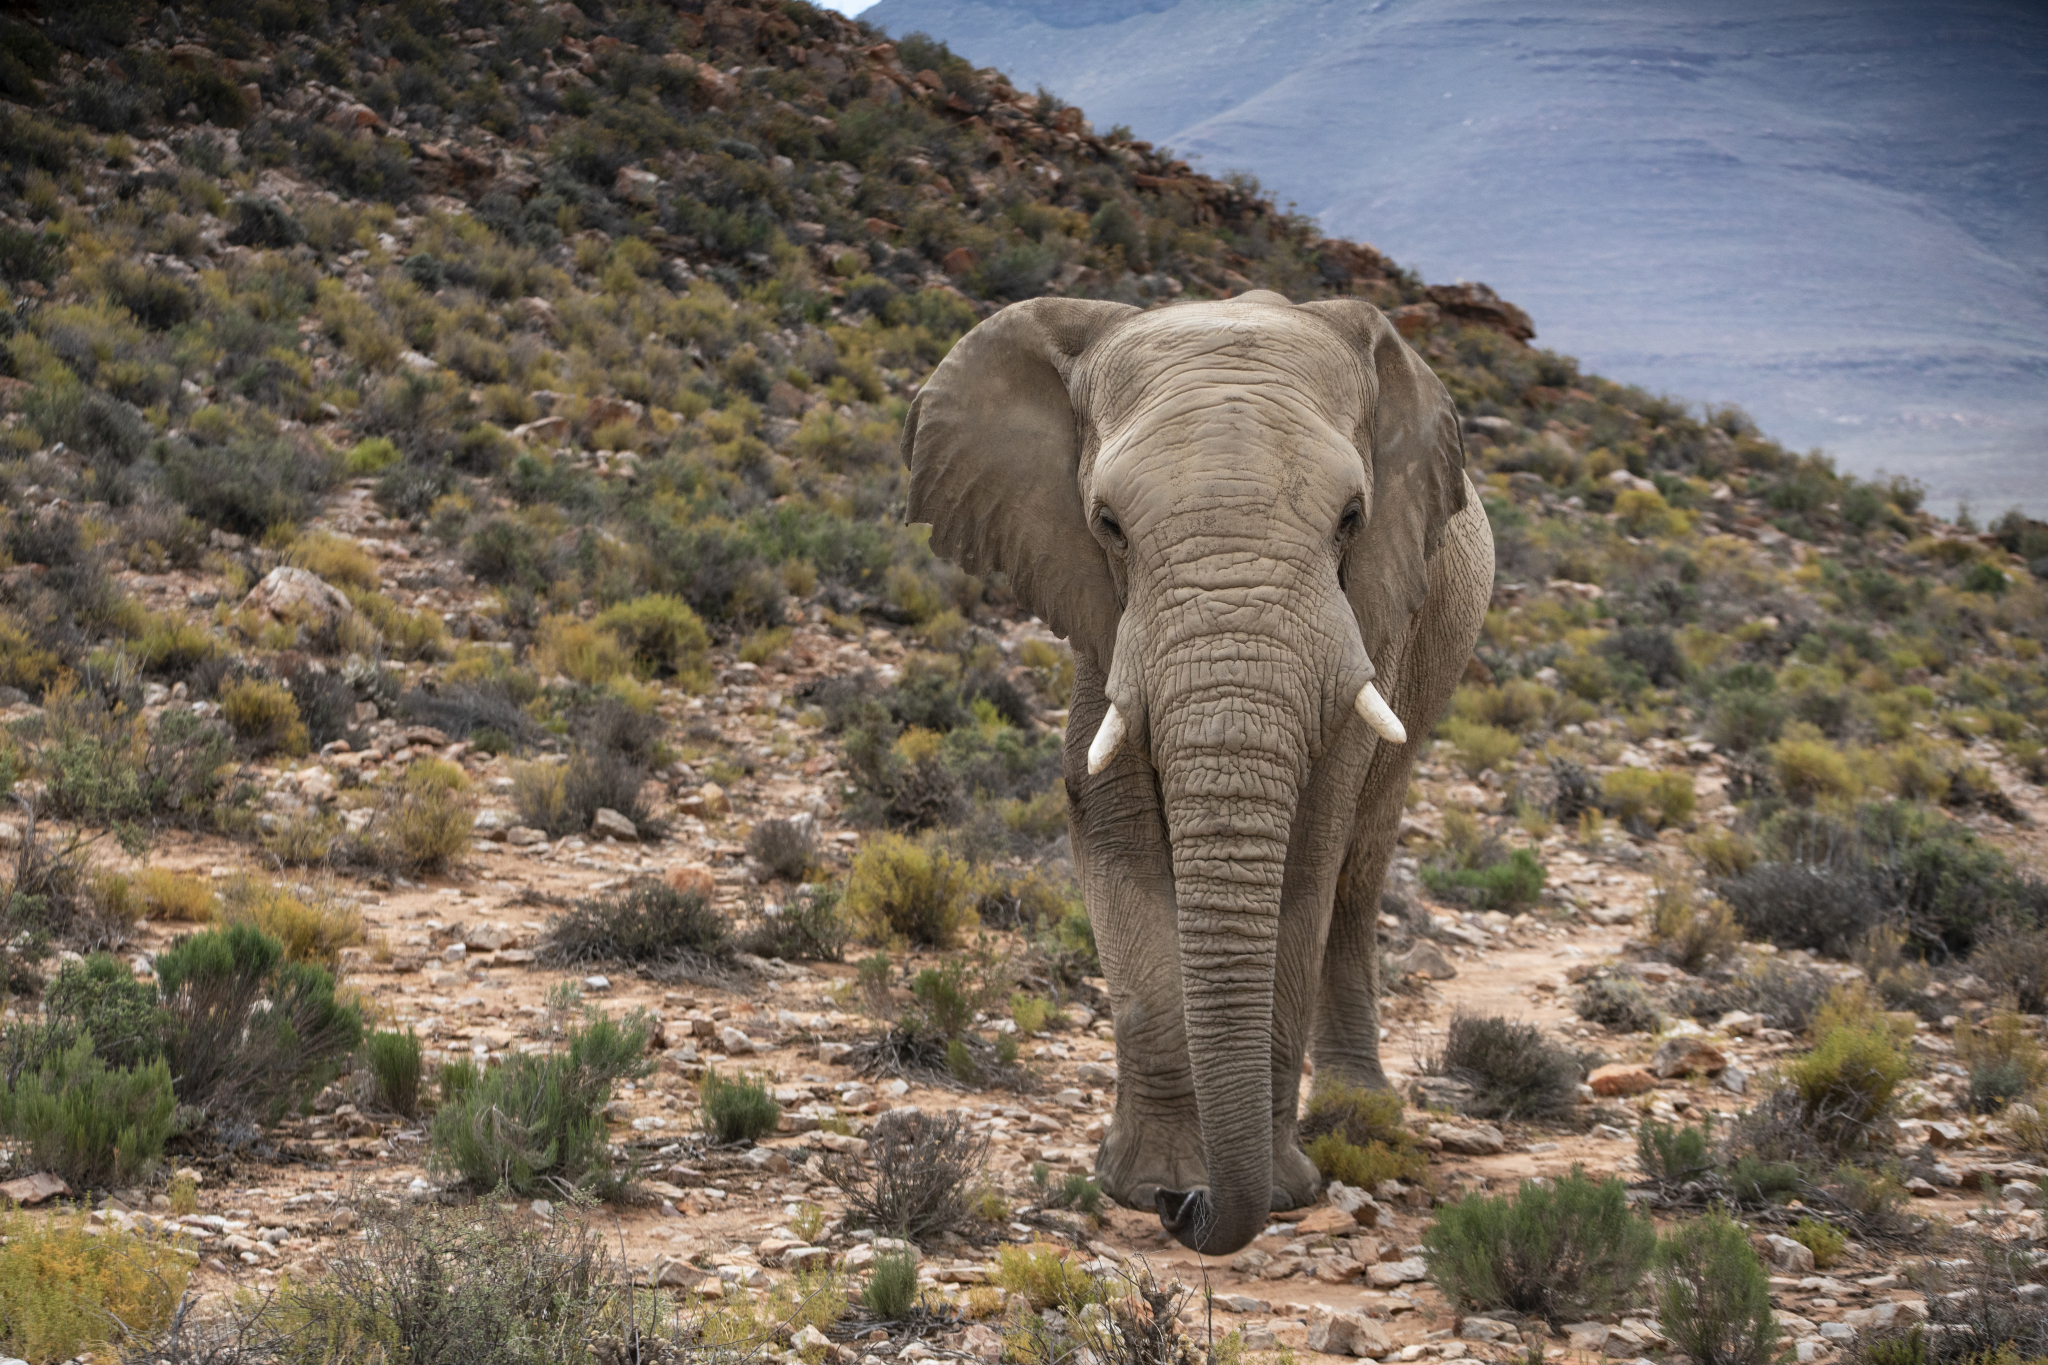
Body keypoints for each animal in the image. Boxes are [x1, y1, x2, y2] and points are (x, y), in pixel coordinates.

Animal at [905, 294, 1499, 1252]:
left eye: (1352, 518)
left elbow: (1307, 854)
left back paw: (1359, 1110)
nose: (1183, 1212)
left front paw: (1280, 1190)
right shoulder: (1100, 616)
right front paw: (1141, 1182)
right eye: (1108, 524)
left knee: (1360, 865)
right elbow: (1112, 833)